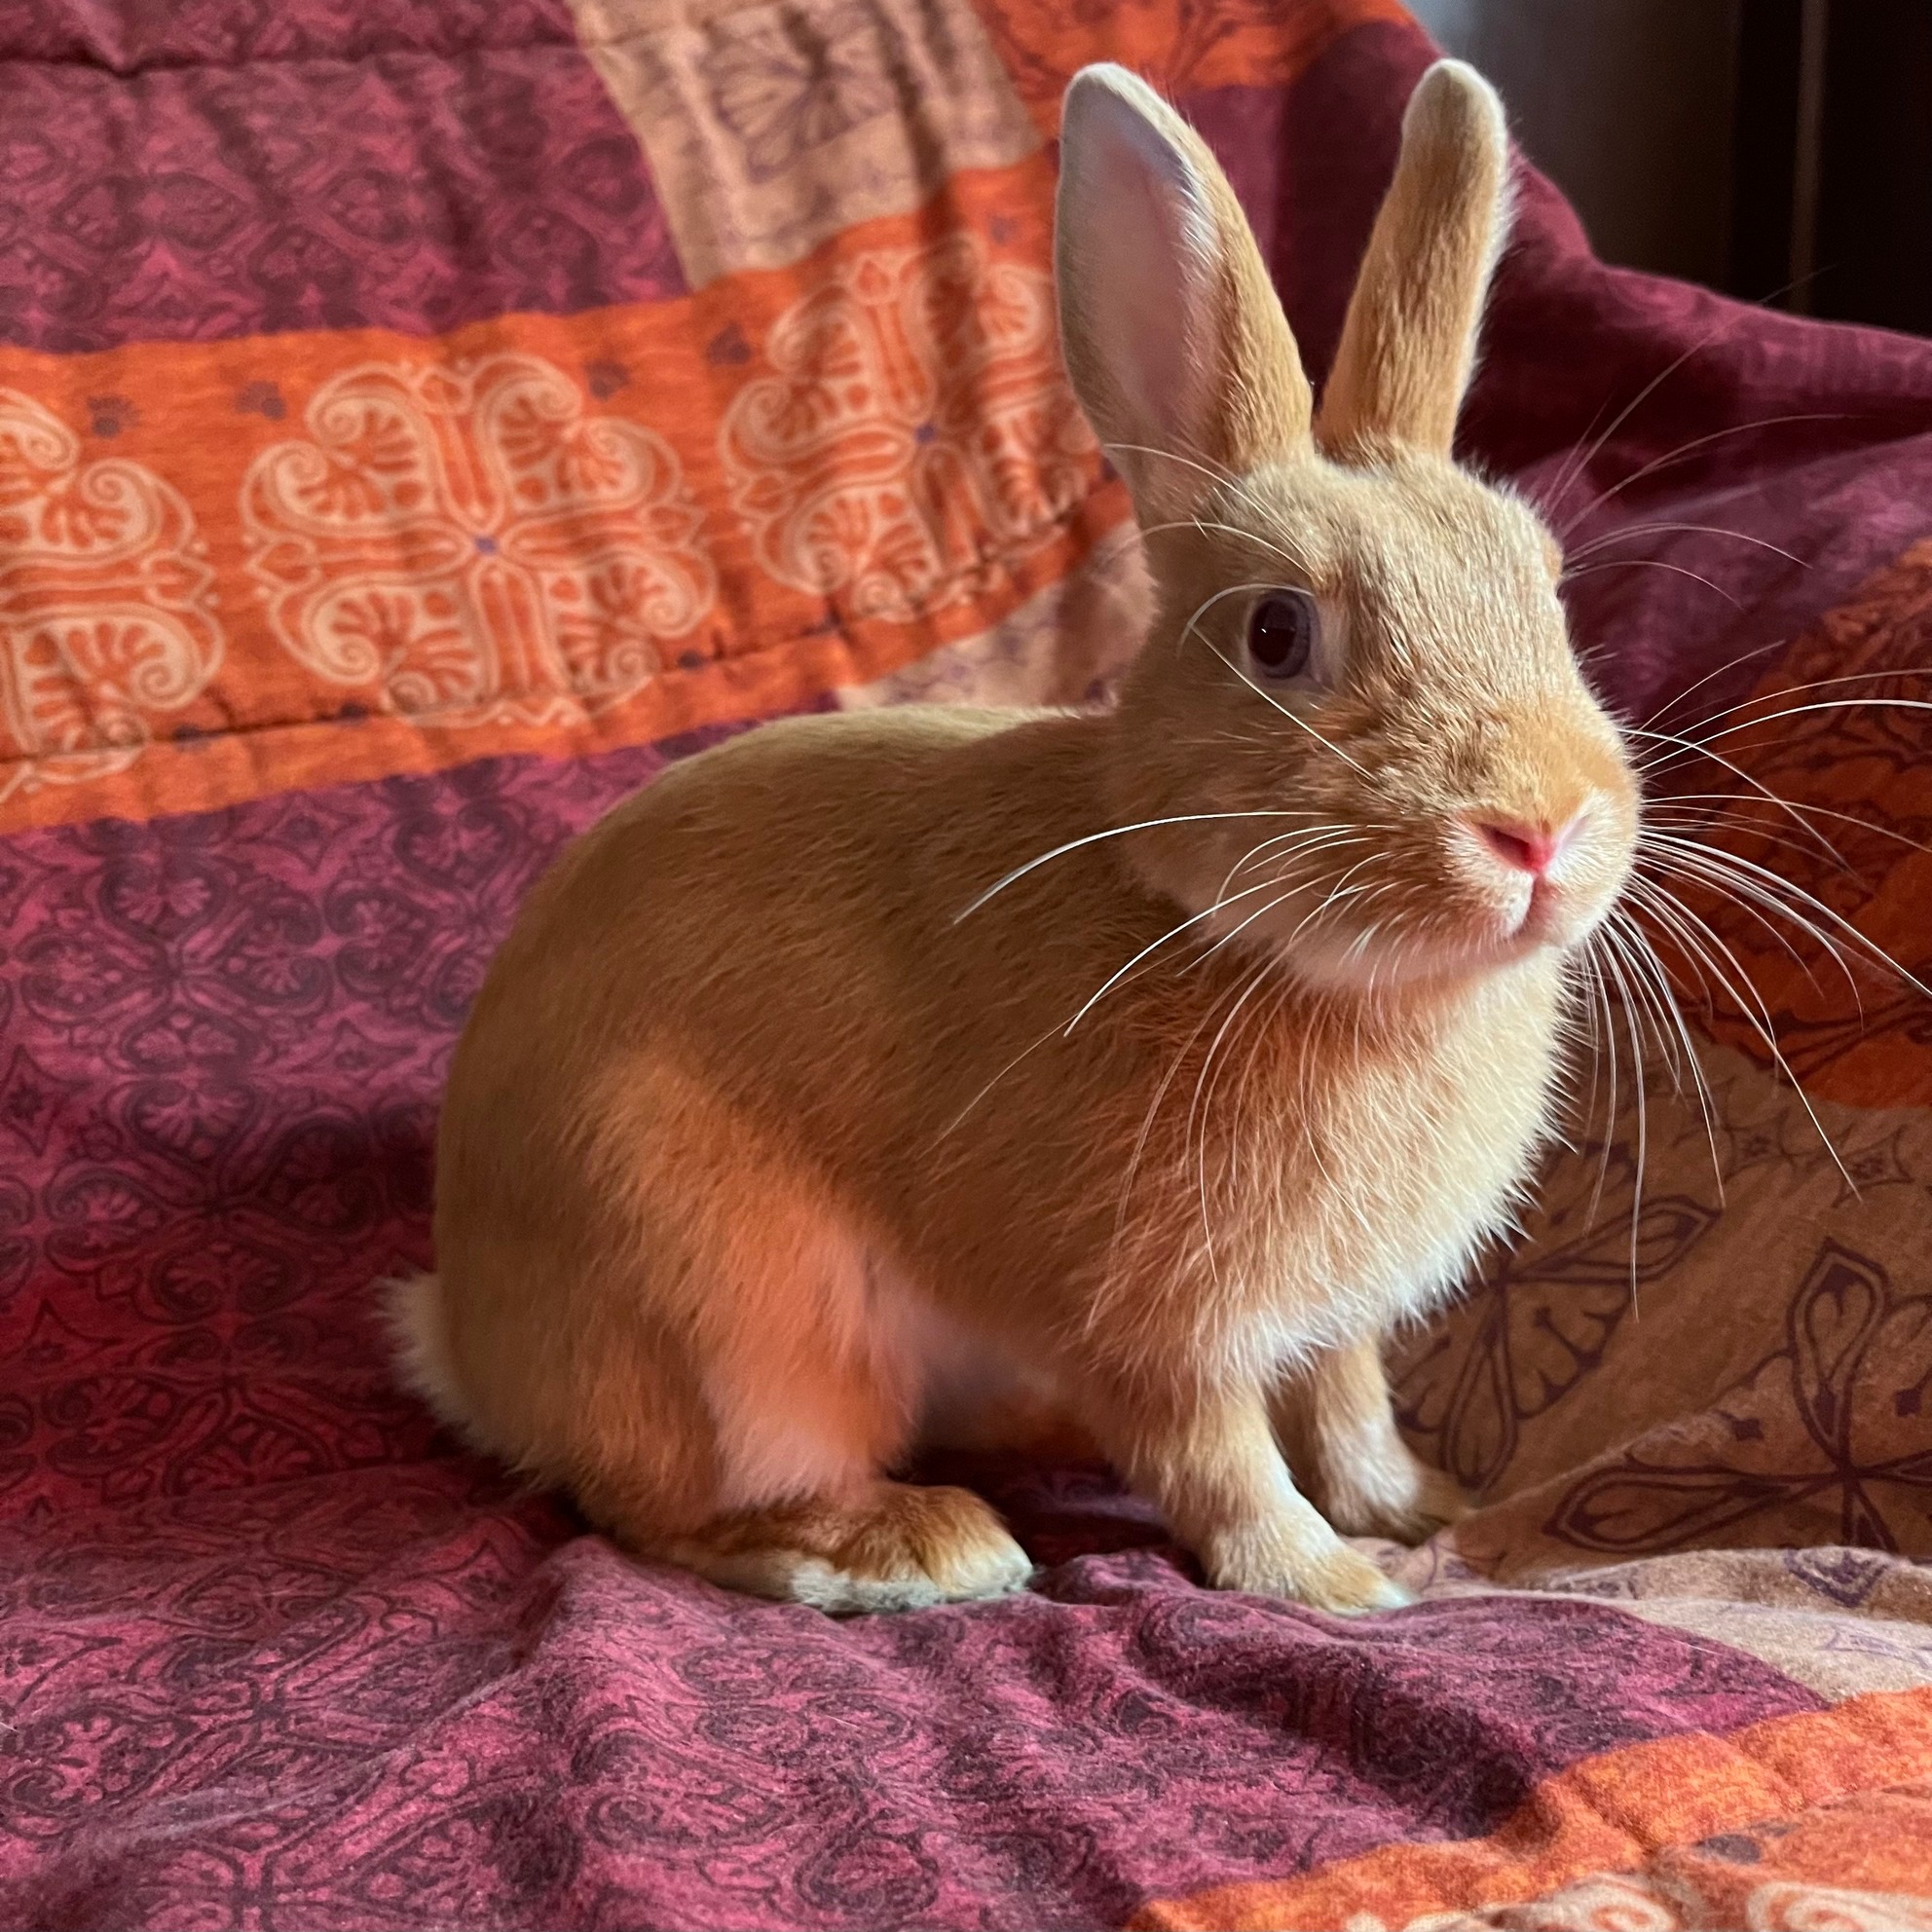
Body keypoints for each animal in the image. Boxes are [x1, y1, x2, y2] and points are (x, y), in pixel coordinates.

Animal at [389, 57, 1639, 1616]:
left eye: (1548, 589)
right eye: (1278, 635)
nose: (1539, 830)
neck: (1235, 940)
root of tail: (468, 1340)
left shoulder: (1329, 1316)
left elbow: (1349, 1401)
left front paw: (1418, 1506)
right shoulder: (1150, 1319)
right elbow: (1220, 1460)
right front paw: (1334, 1584)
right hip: (714, 1313)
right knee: (659, 1507)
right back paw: (913, 1543)